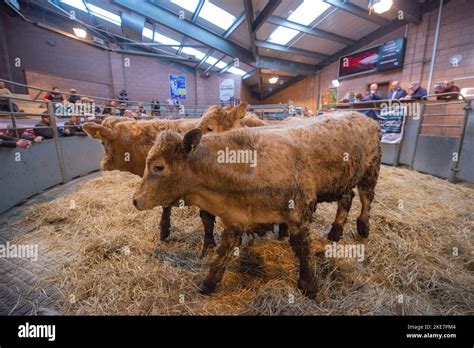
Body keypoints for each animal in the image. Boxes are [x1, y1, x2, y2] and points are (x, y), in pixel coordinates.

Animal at [132, 111, 382, 296]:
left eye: (159, 166)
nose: (135, 200)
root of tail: (364, 116)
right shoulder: (235, 218)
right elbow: (224, 251)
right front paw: (209, 283)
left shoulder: (298, 212)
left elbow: (302, 248)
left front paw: (309, 285)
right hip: (344, 180)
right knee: (347, 198)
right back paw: (335, 232)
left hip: (370, 170)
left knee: (365, 198)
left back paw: (363, 228)